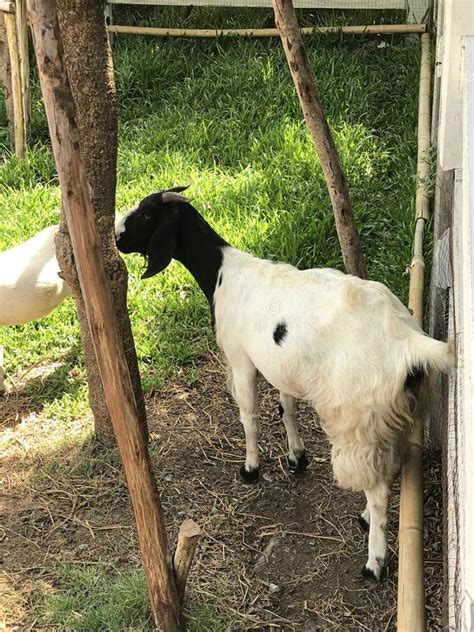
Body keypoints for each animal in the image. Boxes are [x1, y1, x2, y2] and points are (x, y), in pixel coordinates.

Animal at [115, 185, 452, 580]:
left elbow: (249, 416)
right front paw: (296, 457)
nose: (117, 237)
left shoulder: (241, 359)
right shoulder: (283, 367)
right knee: (389, 469)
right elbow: (286, 409)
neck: (224, 273)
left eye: (147, 213)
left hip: (358, 416)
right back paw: (367, 518)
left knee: (379, 488)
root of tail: (408, 342)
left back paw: (374, 561)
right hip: (392, 414)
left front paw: (250, 468)